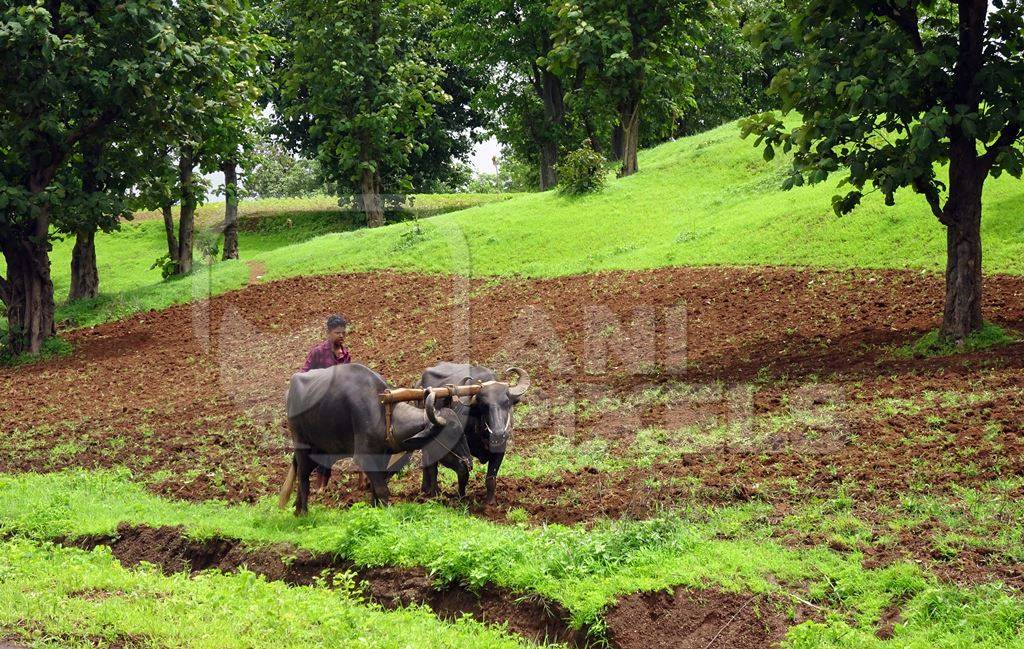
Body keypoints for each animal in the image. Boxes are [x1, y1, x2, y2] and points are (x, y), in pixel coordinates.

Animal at [284, 362, 468, 513]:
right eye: (451, 434)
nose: (468, 465)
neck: (383, 415)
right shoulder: (364, 457)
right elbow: (382, 489)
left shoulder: (381, 456)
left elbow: (375, 488)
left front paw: (375, 508)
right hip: (301, 444)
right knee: (303, 477)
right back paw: (304, 512)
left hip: (319, 449)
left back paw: (297, 509)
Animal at [417, 362, 532, 503]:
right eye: (484, 405)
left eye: (506, 403)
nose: (499, 433)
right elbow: (463, 472)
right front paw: (461, 498)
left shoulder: (500, 450)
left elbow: (491, 477)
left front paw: (490, 502)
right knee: (431, 465)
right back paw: (433, 493)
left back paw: (425, 489)